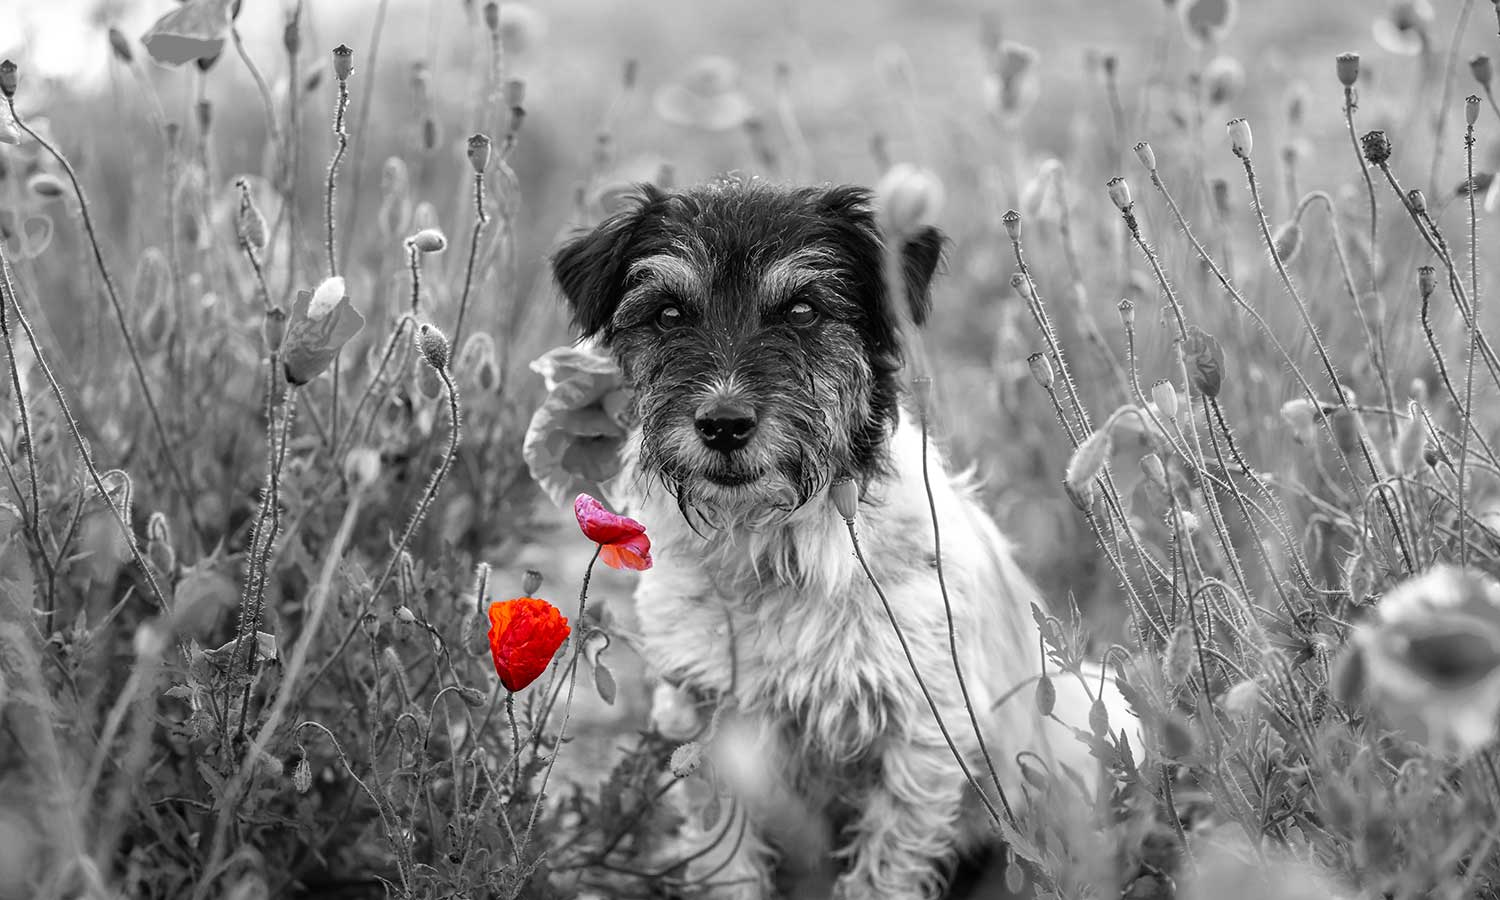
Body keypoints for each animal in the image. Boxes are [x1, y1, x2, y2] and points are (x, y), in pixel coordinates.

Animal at [552, 179, 1128, 894]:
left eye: (802, 309)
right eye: (667, 313)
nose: (723, 424)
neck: (775, 546)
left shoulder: (921, 736)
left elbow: (883, 868)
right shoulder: (706, 724)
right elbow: (726, 861)